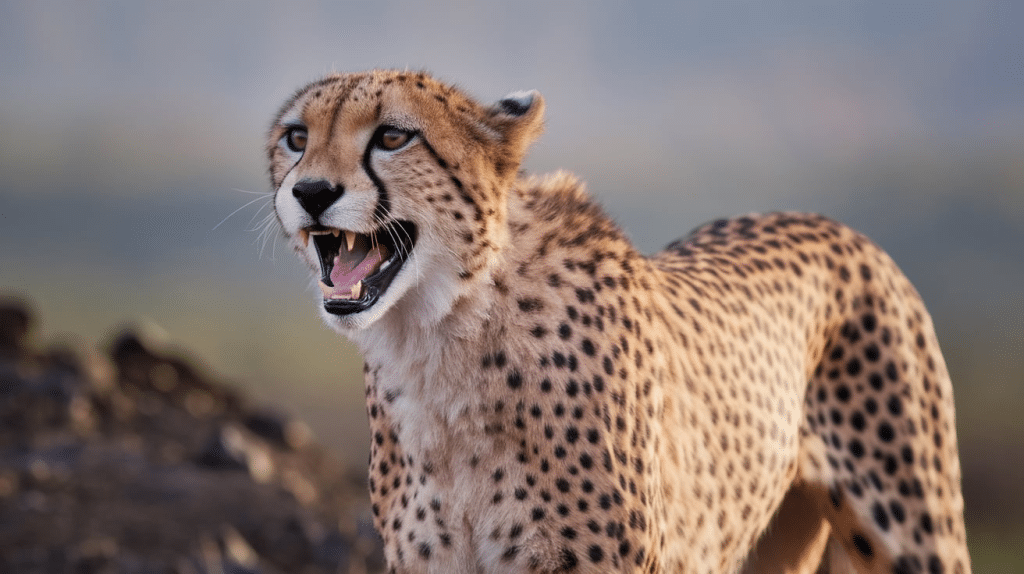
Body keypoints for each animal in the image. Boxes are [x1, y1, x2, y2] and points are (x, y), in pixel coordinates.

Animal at [267, 69, 971, 574]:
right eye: (296, 138)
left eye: (393, 136)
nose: (312, 192)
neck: (441, 336)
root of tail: (835, 226)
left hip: (917, 533)